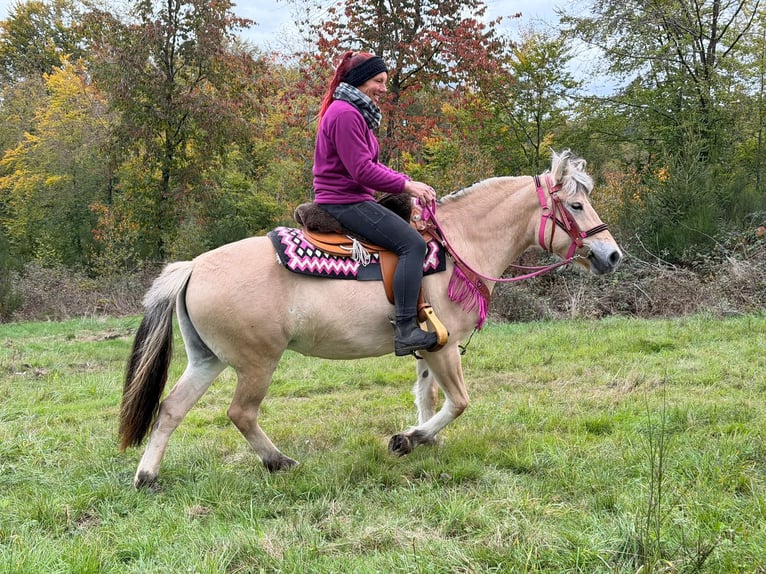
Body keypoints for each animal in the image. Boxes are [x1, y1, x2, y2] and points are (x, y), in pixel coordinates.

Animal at [119, 149, 622, 488]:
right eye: (576, 206)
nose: (612, 254)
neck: (458, 246)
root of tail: (193, 267)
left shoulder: (427, 347)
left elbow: (427, 396)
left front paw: (423, 439)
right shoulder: (445, 347)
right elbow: (458, 402)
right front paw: (407, 440)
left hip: (208, 359)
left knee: (171, 408)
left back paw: (147, 476)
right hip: (256, 362)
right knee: (240, 413)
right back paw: (279, 462)